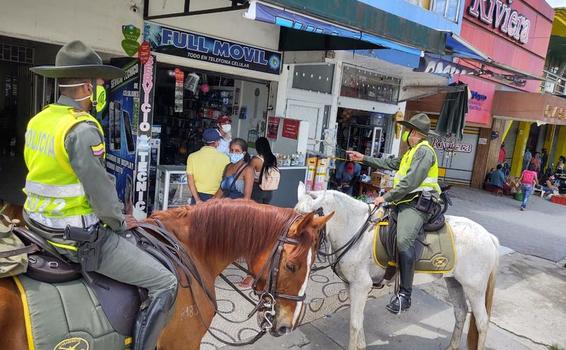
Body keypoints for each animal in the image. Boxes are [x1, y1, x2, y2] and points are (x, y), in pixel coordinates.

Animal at [298, 183, 502, 350]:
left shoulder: (361, 286)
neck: (356, 230)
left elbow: (354, 323)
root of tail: (488, 236)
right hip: (454, 282)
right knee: (460, 313)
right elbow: (358, 319)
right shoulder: (350, 285)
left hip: (475, 289)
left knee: (482, 322)